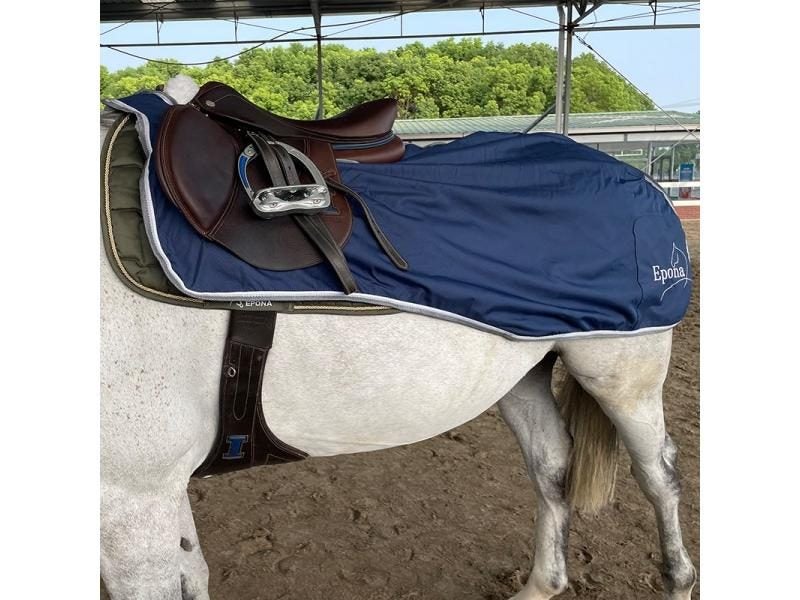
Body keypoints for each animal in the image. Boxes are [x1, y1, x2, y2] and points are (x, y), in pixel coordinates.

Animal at [100, 77, 697, 600]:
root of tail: (637, 181)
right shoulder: (158, 488)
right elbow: (194, 574)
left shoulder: (131, 503)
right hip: (523, 368)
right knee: (551, 463)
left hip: (624, 375)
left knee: (659, 475)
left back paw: (676, 578)